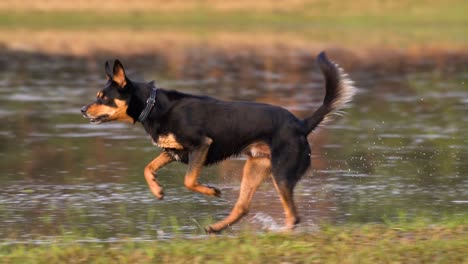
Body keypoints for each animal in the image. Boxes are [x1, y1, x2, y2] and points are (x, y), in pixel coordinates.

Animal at [82, 52, 356, 233]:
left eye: (103, 97)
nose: (82, 111)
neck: (153, 106)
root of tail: (301, 124)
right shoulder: (173, 151)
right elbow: (148, 168)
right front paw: (157, 190)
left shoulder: (201, 145)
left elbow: (189, 180)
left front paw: (211, 191)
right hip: (255, 168)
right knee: (243, 207)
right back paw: (217, 227)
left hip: (282, 175)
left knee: (293, 216)